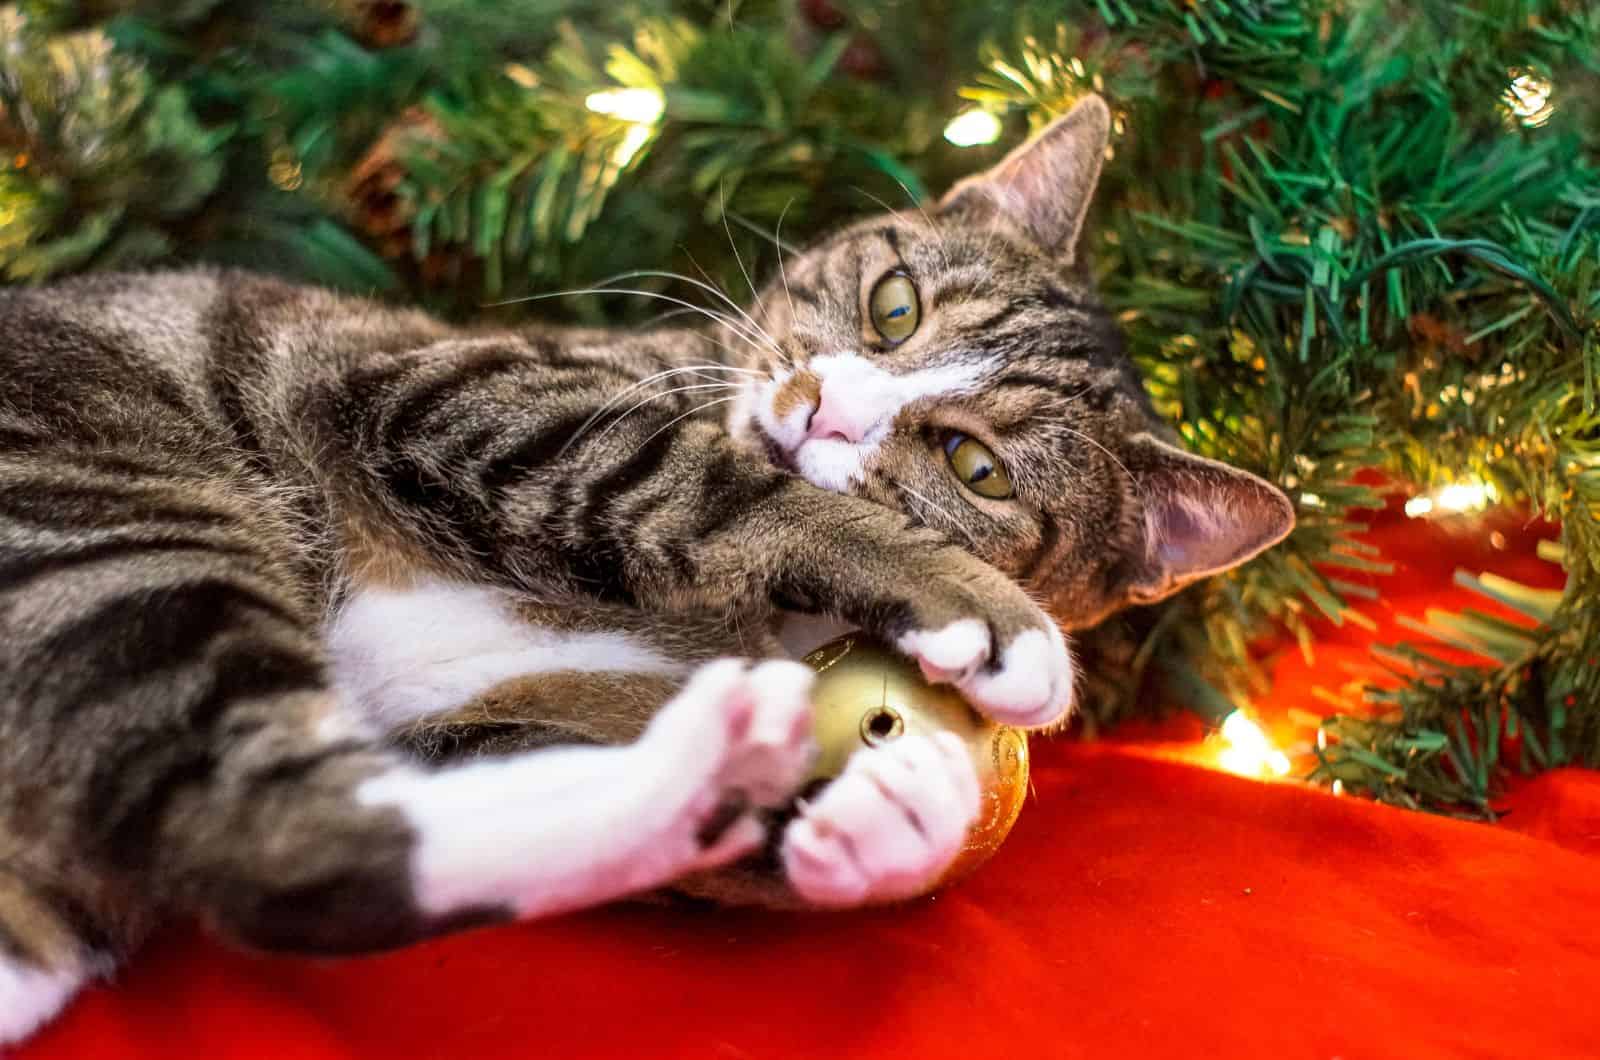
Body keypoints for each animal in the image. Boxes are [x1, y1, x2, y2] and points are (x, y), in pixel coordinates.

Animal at [0, 95, 1286, 1043]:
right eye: (894, 305)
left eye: (976, 468)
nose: (825, 408)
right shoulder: (449, 387)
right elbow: (710, 481)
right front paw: (998, 621)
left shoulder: (488, 713)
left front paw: (870, 821)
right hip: (112, 515)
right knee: (271, 838)